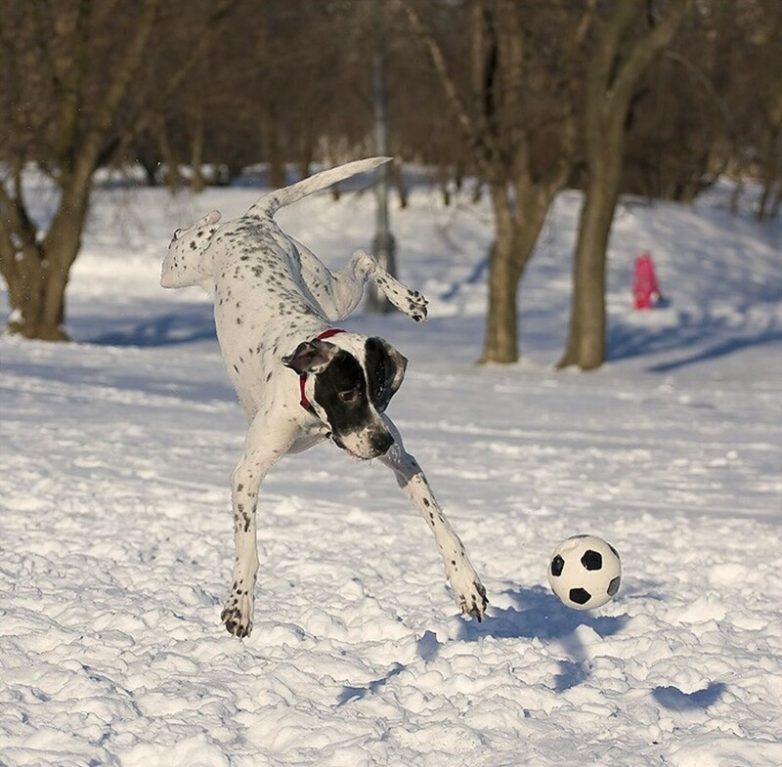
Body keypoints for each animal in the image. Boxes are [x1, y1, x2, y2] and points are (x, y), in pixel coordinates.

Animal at [162, 156, 486, 636]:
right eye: (348, 391)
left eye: (381, 394)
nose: (382, 442)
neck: (313, 415)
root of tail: (255, 219)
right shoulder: (247, 473)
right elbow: (248, 547)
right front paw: (240, 604)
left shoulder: (405, 463)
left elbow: (441, 524)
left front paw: (467, 583)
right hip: (182, 267)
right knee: (182, 237)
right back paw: (206, 218)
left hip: (330, 293)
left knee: (364, 258)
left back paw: (408, 300)